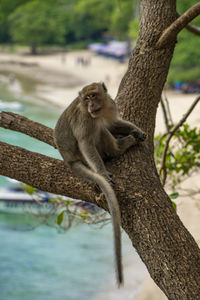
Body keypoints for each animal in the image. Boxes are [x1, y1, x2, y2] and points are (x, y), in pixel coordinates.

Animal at [54, 81, 146, 286]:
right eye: (86, 98)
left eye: (94, 96)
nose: (90, 105)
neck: (100, 109)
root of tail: (69, 160)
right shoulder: (85, 119)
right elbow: (86, 142)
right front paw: (102, 172)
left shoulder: (111, 105)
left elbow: (114, 123)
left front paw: (137, 130)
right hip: (86, 153)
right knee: (101, 132)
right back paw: (121, 147)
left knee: (105, 128)